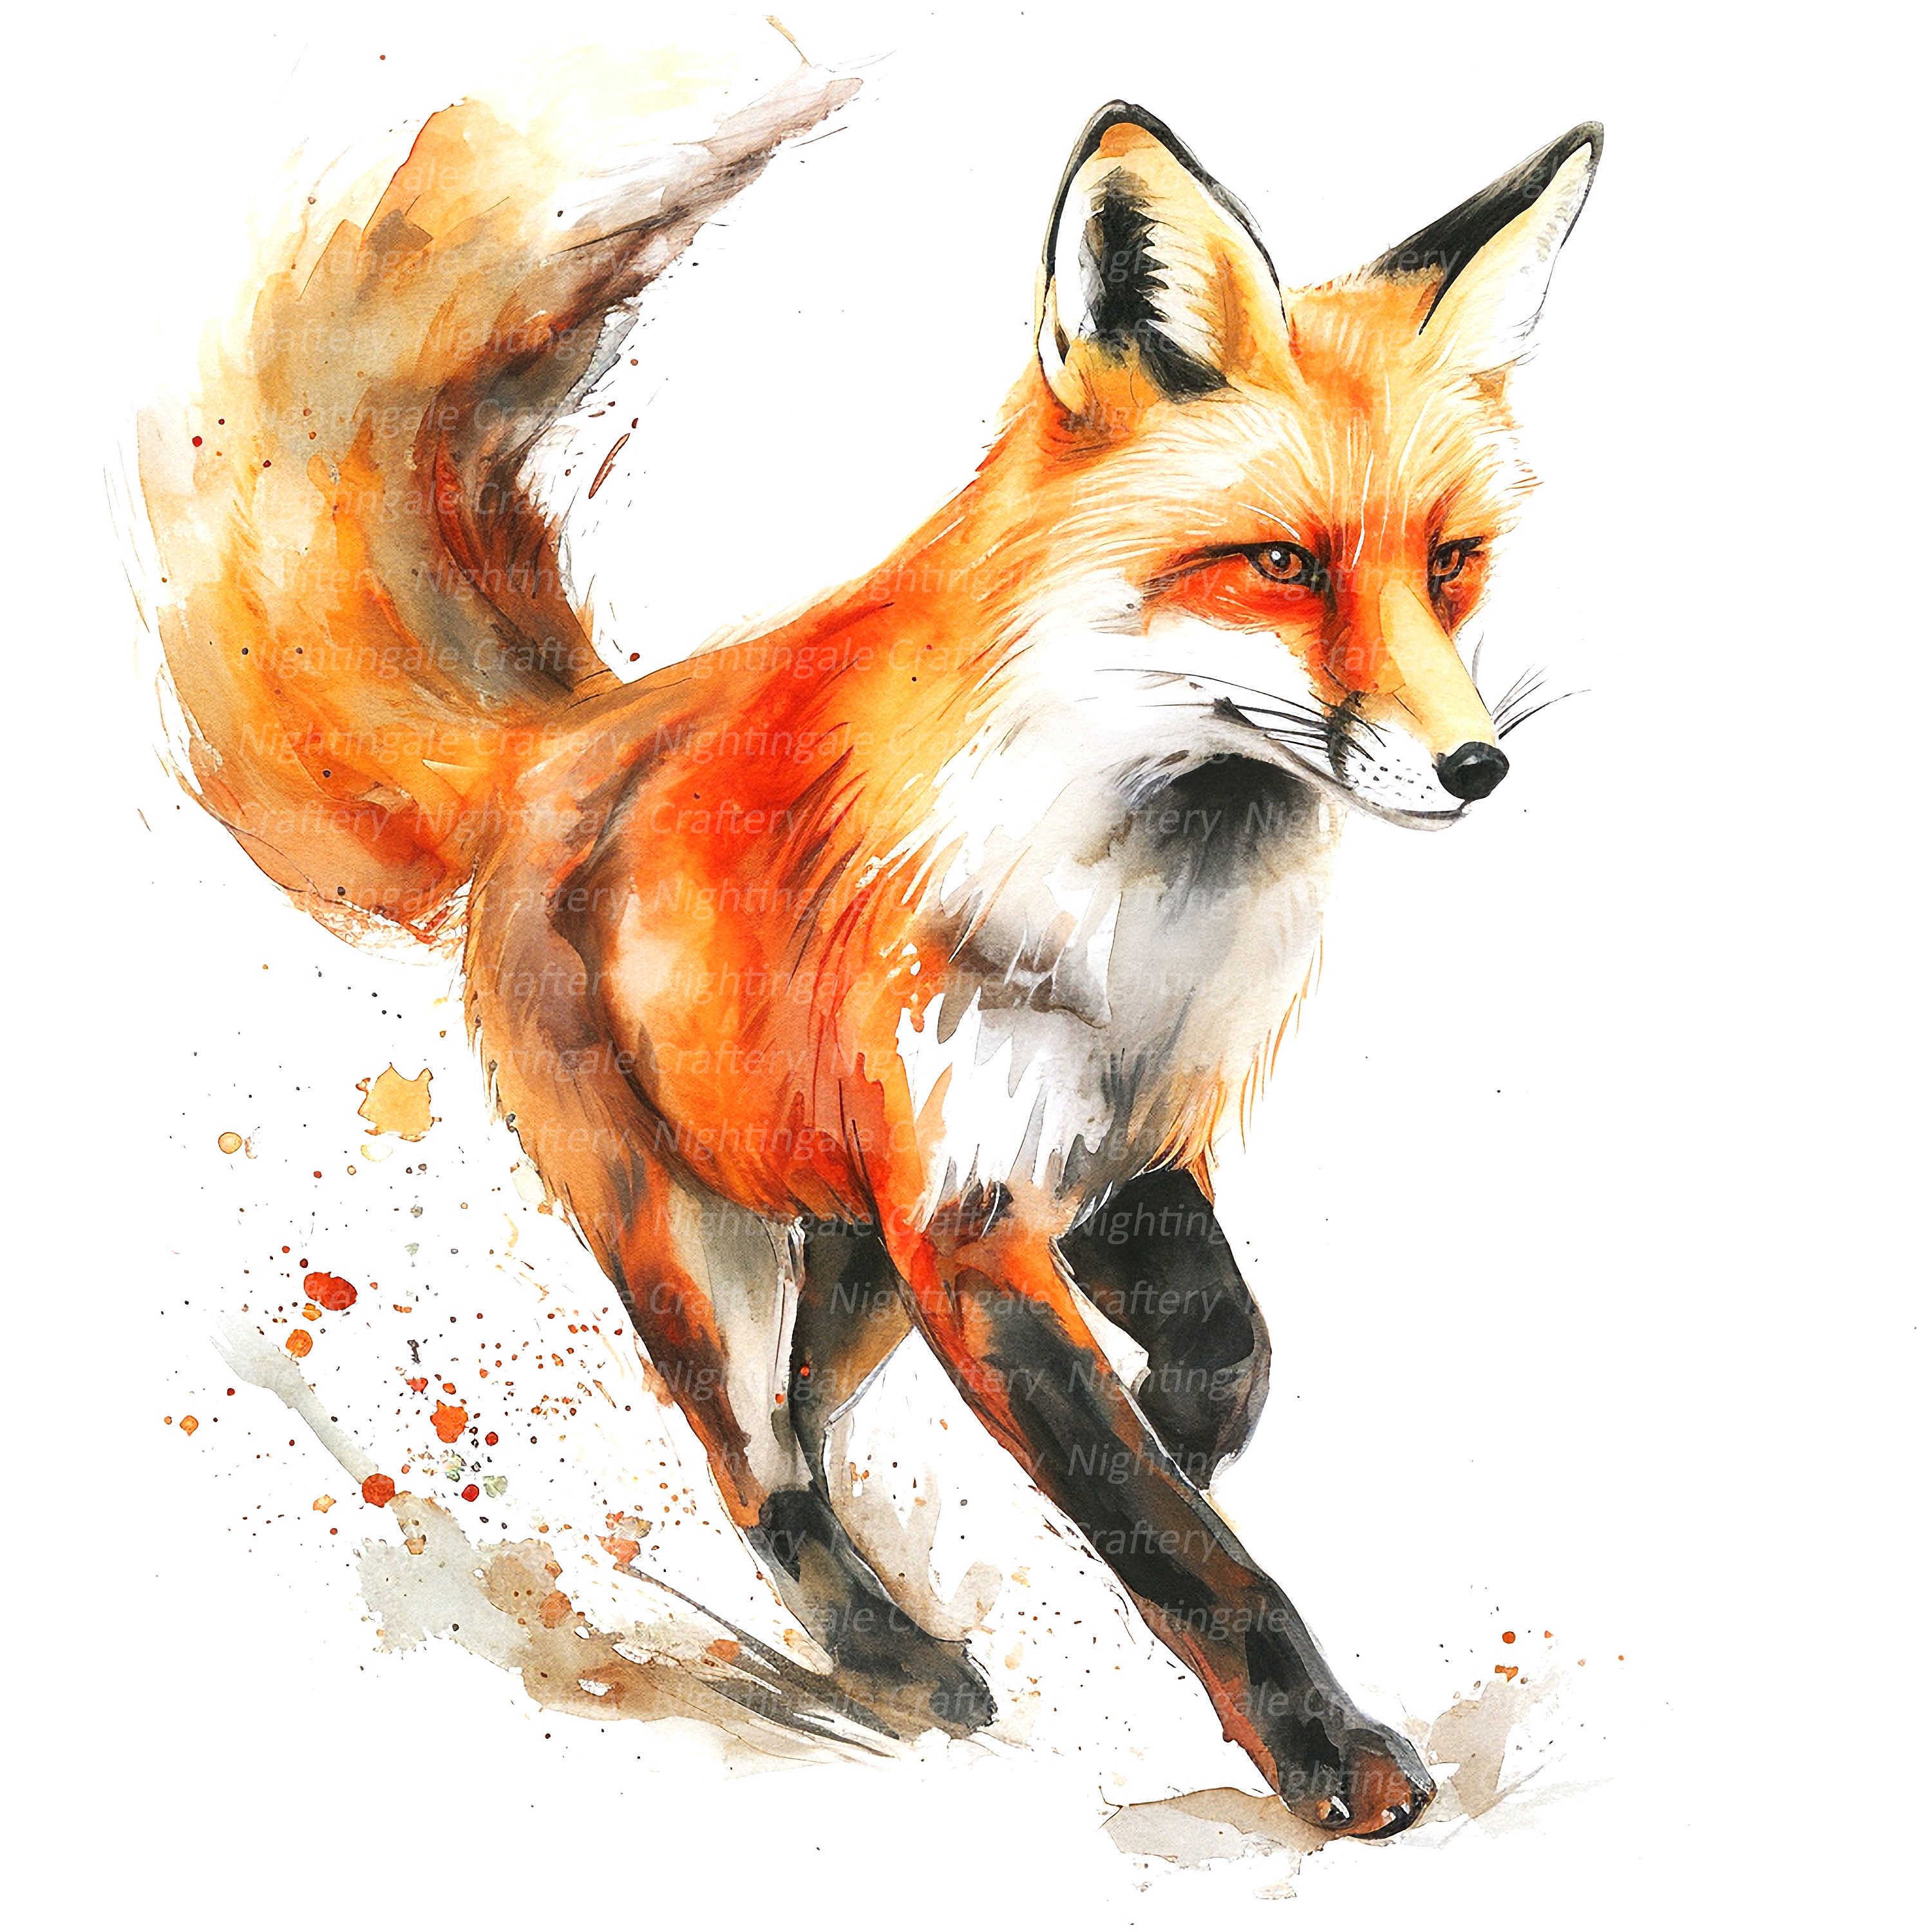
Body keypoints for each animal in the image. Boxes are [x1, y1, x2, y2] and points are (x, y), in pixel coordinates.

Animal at [140, 56, 1599, 1839]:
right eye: (1281, 562)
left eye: (1448, 563)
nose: (1476, 768)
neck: (1140, 917)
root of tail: (555, 744)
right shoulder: (968, 1217)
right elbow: (1180, 1546)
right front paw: (1323, 1747)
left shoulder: (1110, 1155)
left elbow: (1228, 1352)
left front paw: (1191, 1432)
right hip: (704, 1250)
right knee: (753, 1462)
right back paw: (895, 1666)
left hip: (843, 1254)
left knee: (800, 1419)